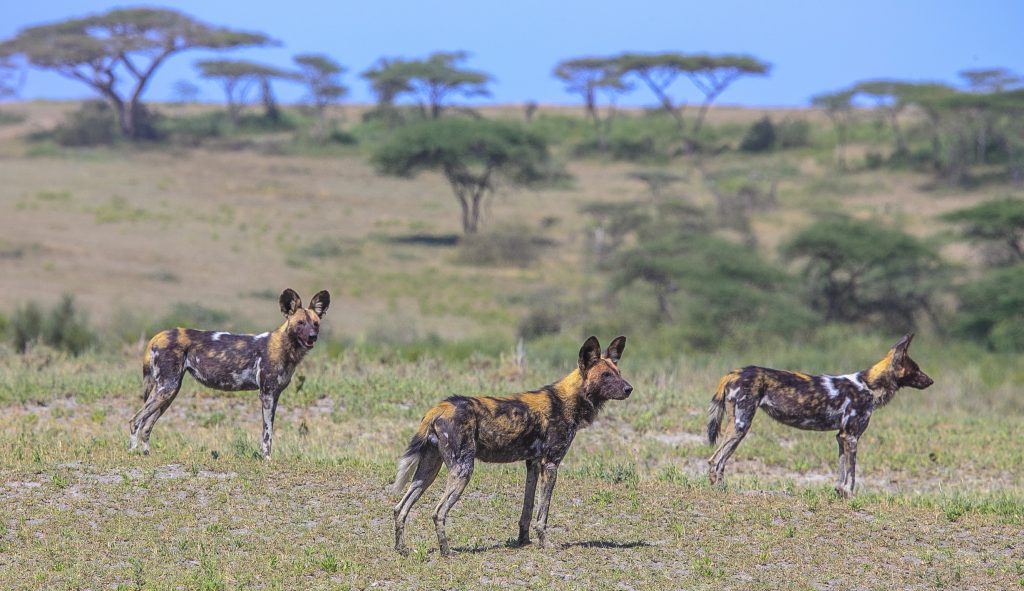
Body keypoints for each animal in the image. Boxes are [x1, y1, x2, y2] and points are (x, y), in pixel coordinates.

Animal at [125, 288, 329, 458]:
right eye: (300, 323)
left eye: (316, 324)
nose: (313, 337)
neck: (285, 347)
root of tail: (159, 335)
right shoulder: (267, 395)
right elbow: (267, 434)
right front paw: (267, 459)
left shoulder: (275, 396)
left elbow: (269, 431)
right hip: (166, 388)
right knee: (135, 420)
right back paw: (132, 451)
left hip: (169, 391)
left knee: (147, 426)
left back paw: (146, 453)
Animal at [391, 333, 630, 557]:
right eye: (606, 375)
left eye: (618, 372)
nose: (629, 389)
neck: (567, 401)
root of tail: (440, 407)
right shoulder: (550, 465)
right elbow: (542, 514)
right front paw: (545, 544)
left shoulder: (533, 464)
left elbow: (528, 510)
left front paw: (524, 541)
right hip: (463, 470)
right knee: (438, 512)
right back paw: (446, 552)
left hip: (429, 471)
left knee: (399, 508)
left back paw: (401, 549)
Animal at [708, 333, 933, 495]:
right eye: (916, 369)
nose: (931, 381)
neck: (869, 385)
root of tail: (734, 372)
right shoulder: (851, 437)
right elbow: (852, 473)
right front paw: (850, 496)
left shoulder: (841, 437)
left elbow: (841, 472)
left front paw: (840, 493)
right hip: (741, 426)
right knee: (714, 460)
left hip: (737, 427)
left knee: (721, 461)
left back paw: (721, 488)